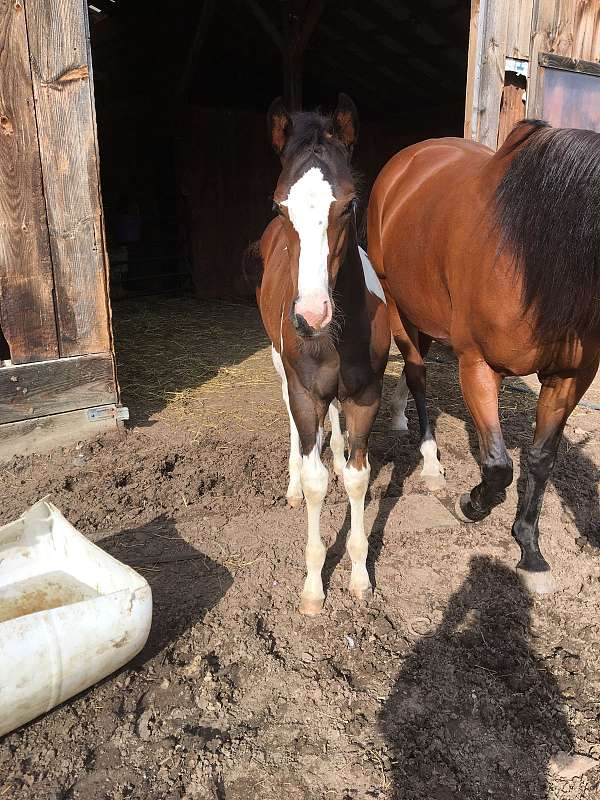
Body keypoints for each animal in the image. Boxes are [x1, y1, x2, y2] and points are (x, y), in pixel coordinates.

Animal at [256, 94, 390, 615]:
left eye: (349, 203)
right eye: (280, 204)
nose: (311, 315)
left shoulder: (365, 396)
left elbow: (356, 477)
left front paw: (359, 576)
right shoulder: (305, 392)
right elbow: (316, 481)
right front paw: (314, 588)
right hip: (283, 372)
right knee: (296, 429)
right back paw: (293, 483)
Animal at [368, 120, 600, 594]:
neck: (534, 258)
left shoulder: (570, 378)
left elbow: (540, 460)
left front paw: (530, 551)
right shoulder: (478, 365)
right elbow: (497, 467)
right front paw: (471, 503)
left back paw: (399, 416)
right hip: (396, 301)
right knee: (417, 374)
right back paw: (431, 462)